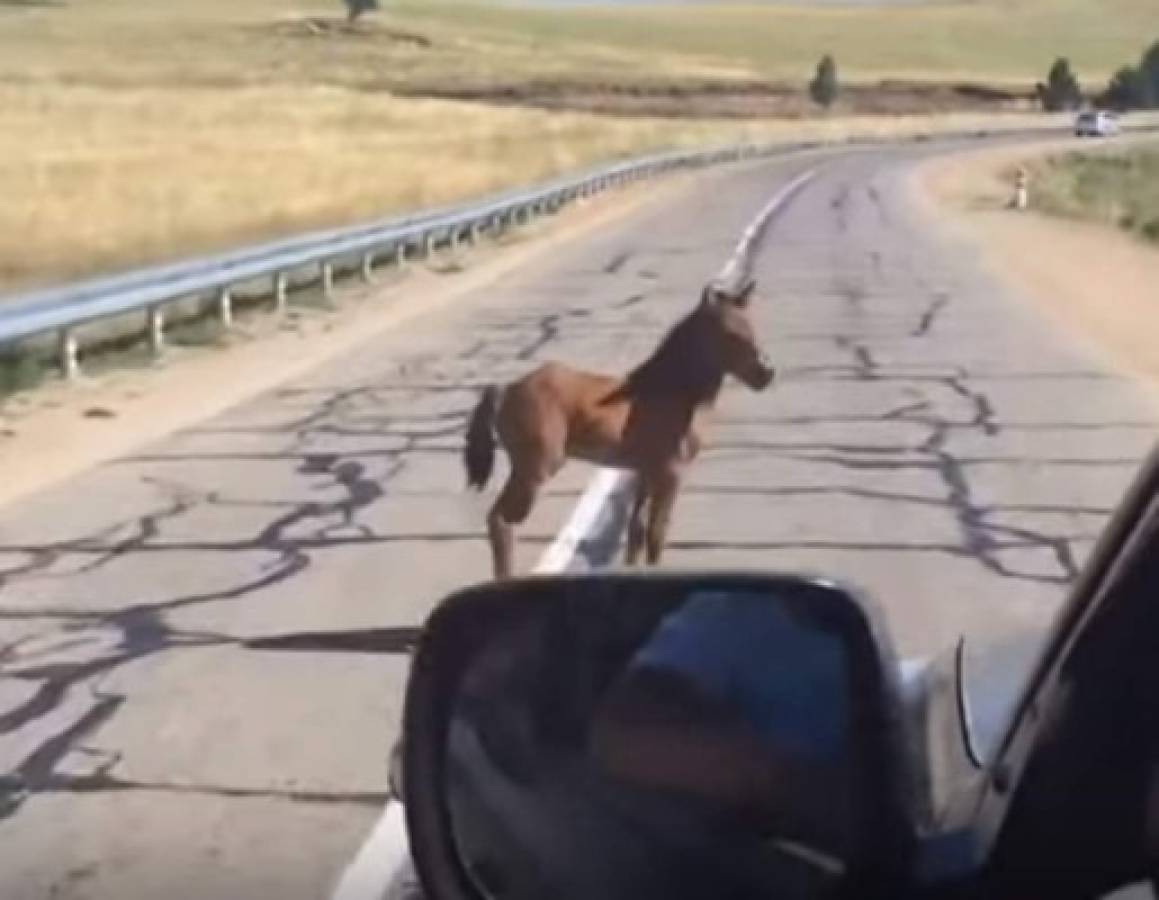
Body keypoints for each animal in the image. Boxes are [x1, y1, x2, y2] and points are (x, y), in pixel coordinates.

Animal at [465, 276, 774, 579]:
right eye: (730, 333)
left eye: (752, 326)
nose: (766, 373)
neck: (672, 390)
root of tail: (506, 390)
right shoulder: (671, 473)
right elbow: (656, 535)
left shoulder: (645, 472)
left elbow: (636, 532)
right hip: (535, 470)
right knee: (501, 521)